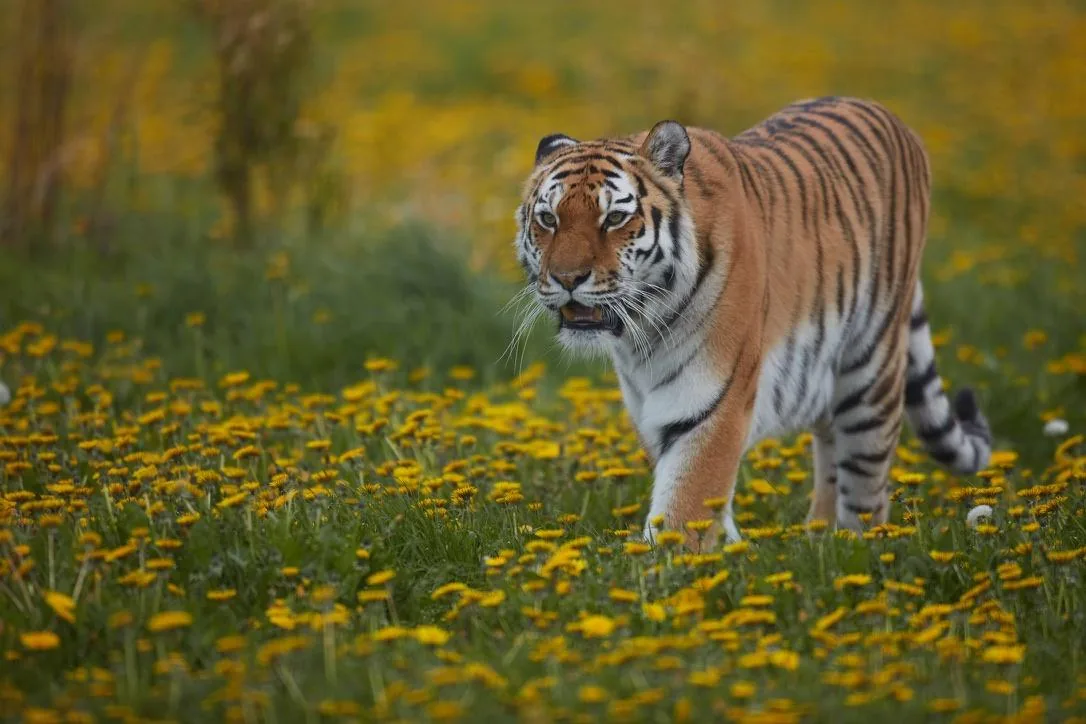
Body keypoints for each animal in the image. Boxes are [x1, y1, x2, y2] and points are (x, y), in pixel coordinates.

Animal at [512, 96, 992, 547]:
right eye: (548, 219)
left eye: (614, 218)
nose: (567, 278)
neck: (643, 330)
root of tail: (886, 113)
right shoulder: (649, 408)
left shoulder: (711, 403)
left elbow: (684, 508)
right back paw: (821, 542)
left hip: (872, 374)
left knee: (866, 486)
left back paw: (860, 550)